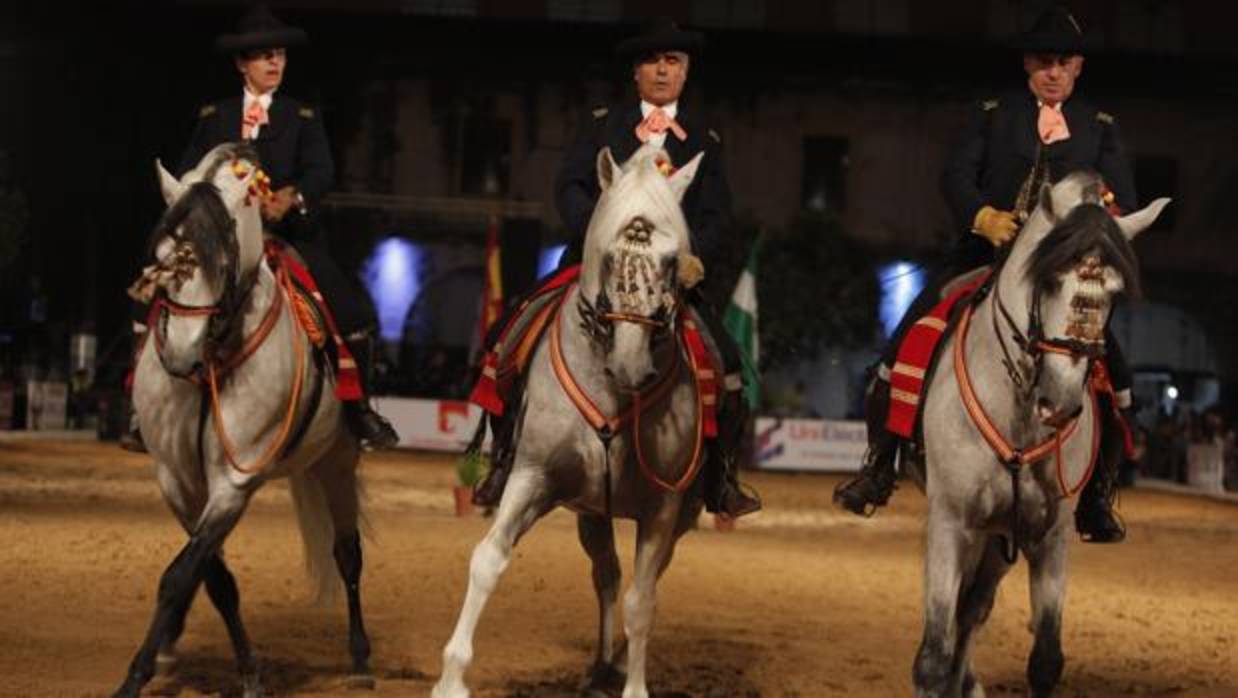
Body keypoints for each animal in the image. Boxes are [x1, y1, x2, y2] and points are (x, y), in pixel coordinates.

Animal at [113, 142, 373, 698]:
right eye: (163, 254)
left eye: (226, 252)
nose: (182, 350)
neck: (210, 364)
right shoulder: (179, 482)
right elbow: (211, 578)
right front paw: (242, 669)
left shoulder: (233, 483)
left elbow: (178, 576)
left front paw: (135, 675)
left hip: (337, 462)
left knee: (348, 555)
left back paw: (361, 658)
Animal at [433, 142, 708, 698]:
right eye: (609, 257)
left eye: (672, 262)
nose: (629, 364)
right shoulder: (532, 477)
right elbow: (488, 559)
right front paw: (451, 677)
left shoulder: (664, 505)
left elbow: (642, 602)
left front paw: (635, 686)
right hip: (591, 511)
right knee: (606, 574)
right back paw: (600, 667)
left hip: (678, 513)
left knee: (641, 580)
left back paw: (616, 664)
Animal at [911, 170, 1168, 698]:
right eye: (1047, 280)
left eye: (1114, 294)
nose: (1060, 404)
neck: (1020, 415)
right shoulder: (950, 521)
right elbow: (932, 655)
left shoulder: (1048, 535)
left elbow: (1046, 659)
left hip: (1002, 535)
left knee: (974, 607)